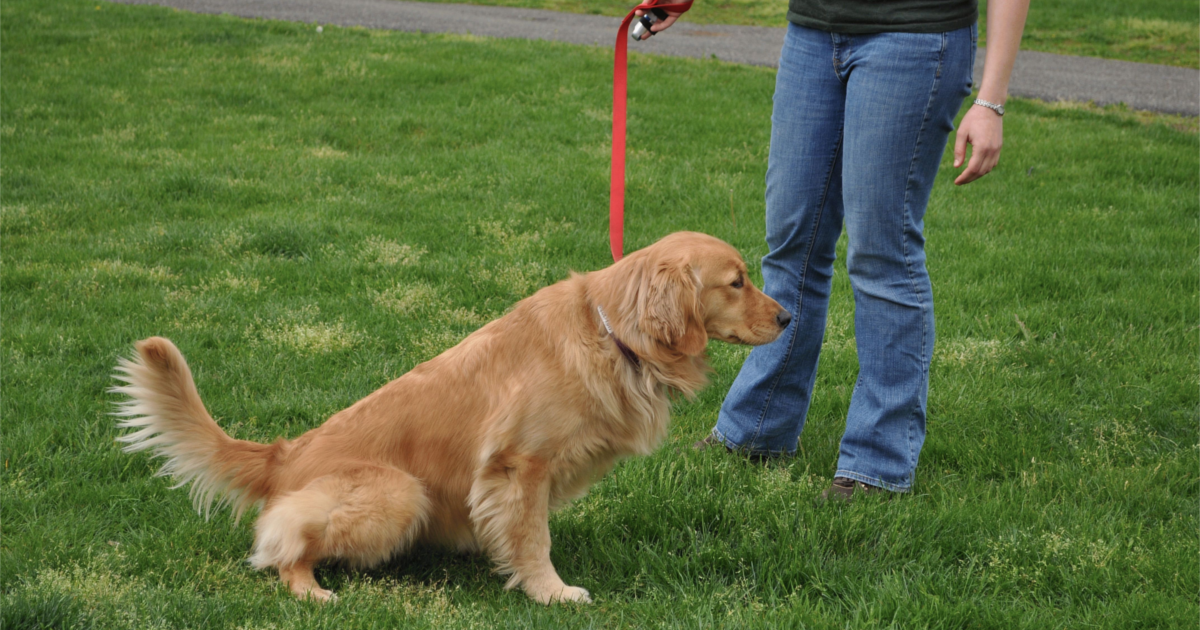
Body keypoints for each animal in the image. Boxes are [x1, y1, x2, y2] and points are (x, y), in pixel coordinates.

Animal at [110, 230, 787, 604]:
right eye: (736, 282)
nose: (789, 317)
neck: (614, 333)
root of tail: (283, 455)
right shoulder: (520, 465)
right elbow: (533, 537)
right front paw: (551, 592)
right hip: (399, 492)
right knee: (280, 542)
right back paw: (309, 588)